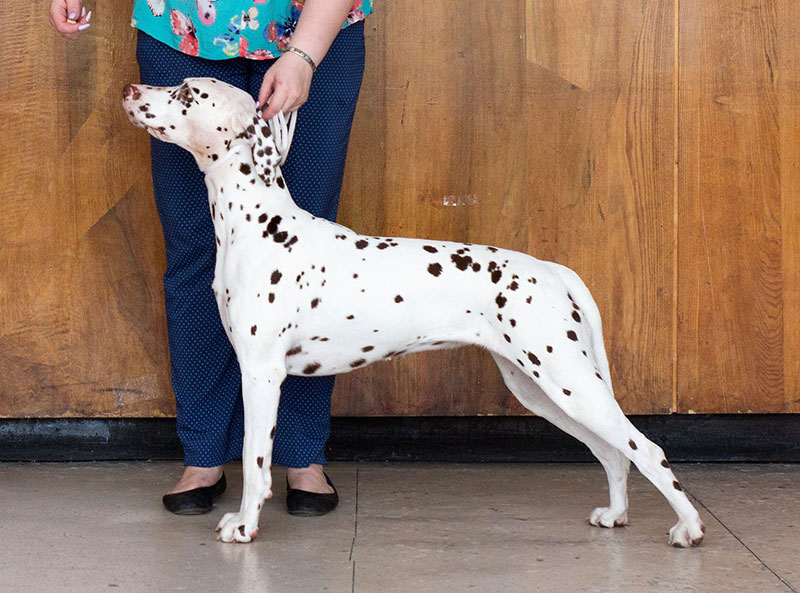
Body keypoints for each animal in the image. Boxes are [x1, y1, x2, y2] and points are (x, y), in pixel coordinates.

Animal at [122, 77, 704, 544]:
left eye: (187, 92)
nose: (129, 89)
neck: (259, 225)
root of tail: (552, 269)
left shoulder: (261, 374)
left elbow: (254, 461)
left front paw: (245, 526)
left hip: (570, 382)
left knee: (647, 449)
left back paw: (689, 528)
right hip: (544, 390)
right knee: (613, 453)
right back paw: (616, 514)